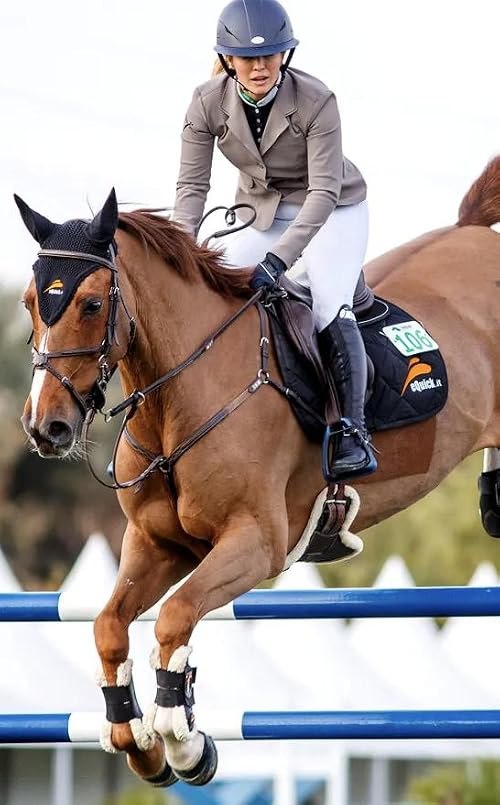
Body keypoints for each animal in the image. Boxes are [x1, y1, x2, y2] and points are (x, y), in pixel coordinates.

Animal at [15, 155, 500, 787]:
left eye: (92, 305)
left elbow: (174, 619)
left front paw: (184, 741)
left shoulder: (255, 543)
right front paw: (139, 741)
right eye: (29, 302)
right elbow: (108, 626)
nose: (45, 427)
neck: (179, 397)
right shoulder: (157, 545)